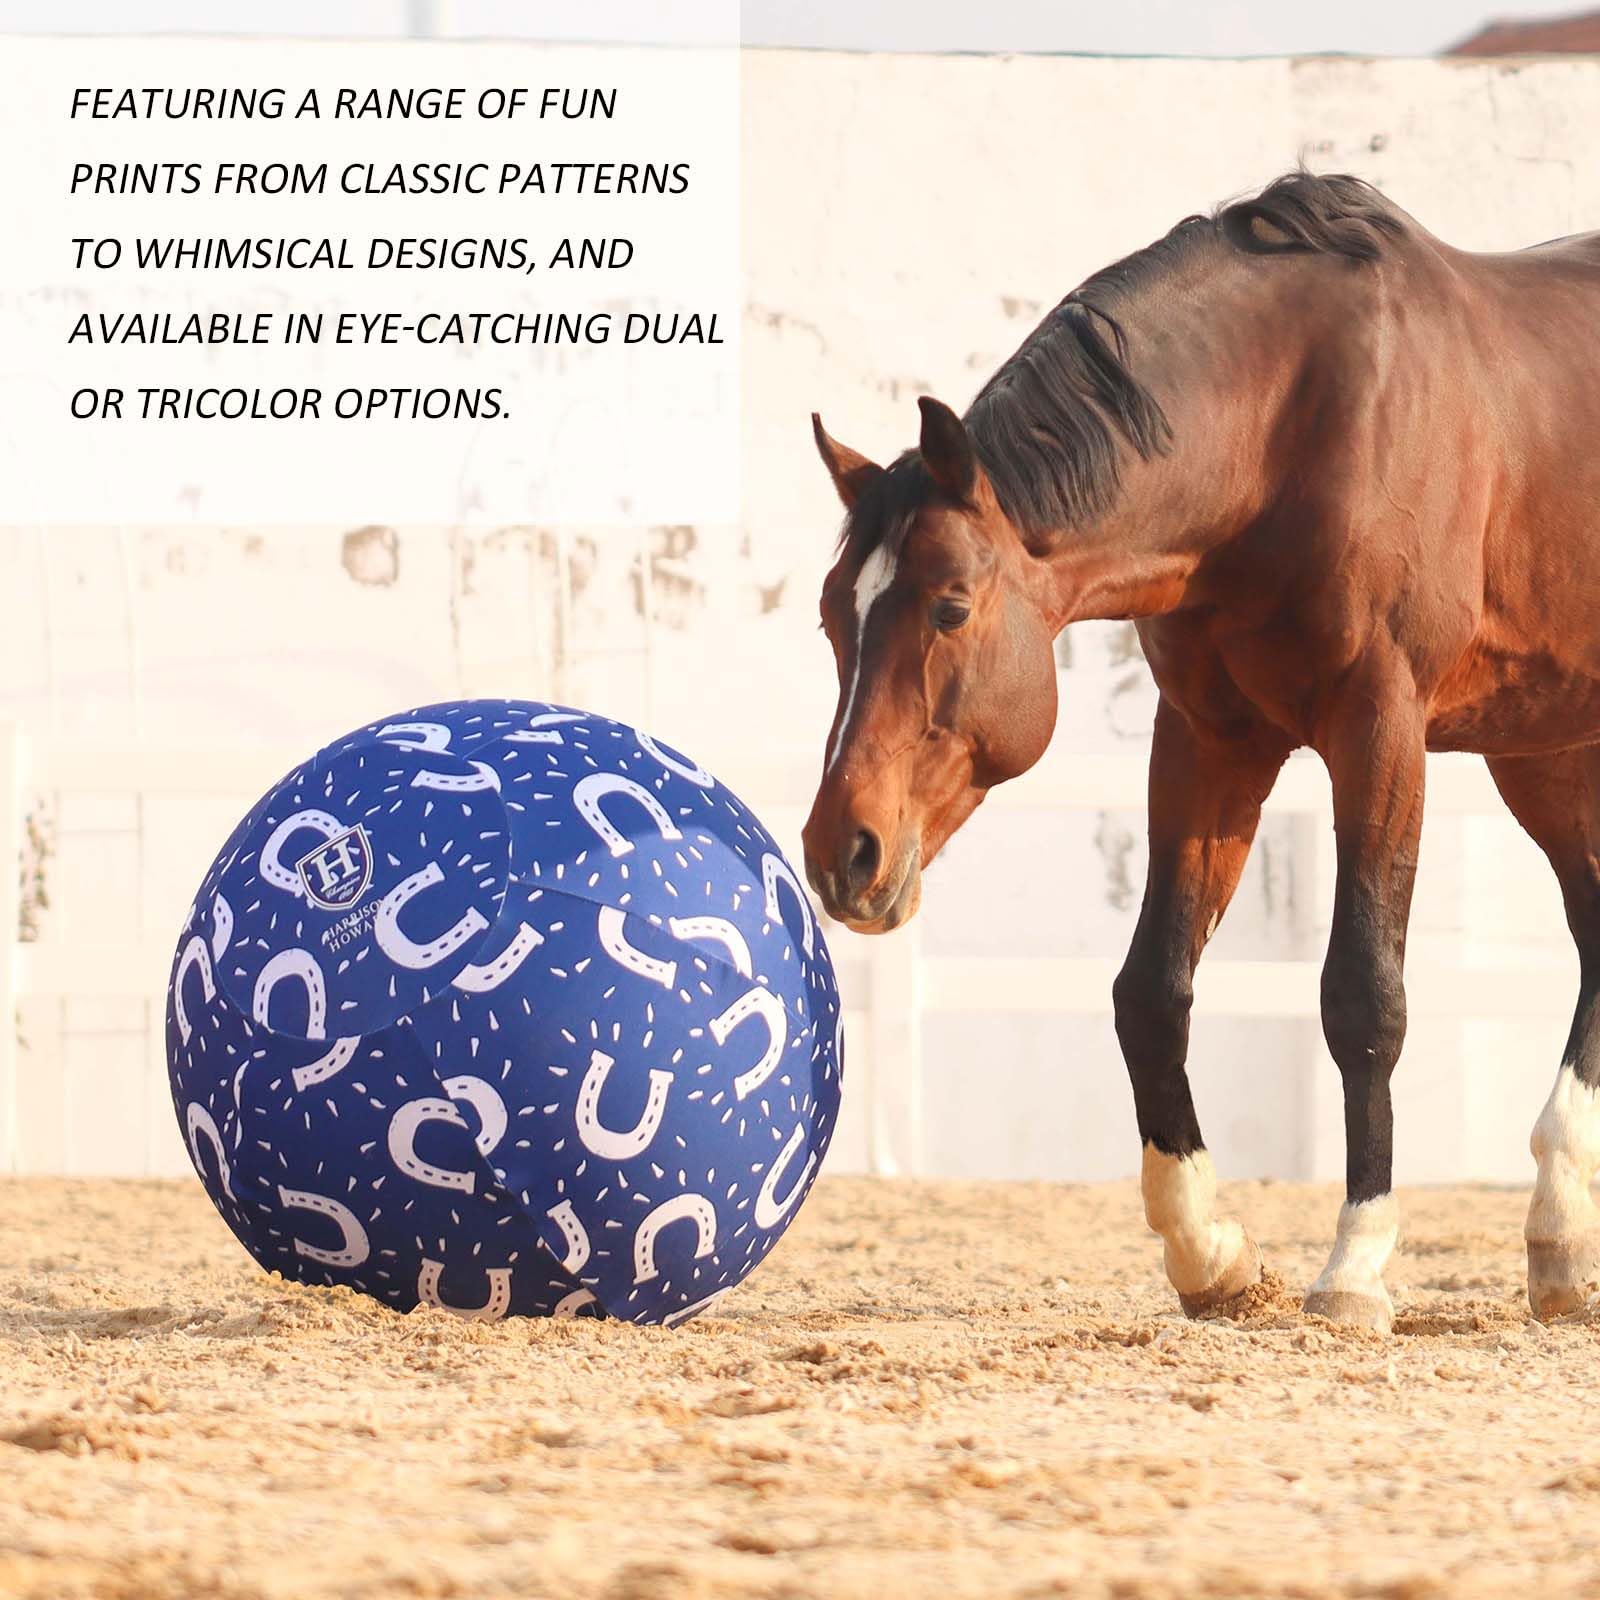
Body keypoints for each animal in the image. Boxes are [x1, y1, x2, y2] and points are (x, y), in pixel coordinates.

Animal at [800, 170, 1600, 1333]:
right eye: (832, 617)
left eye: (949, 605)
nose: (840, 852)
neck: (1290, 431)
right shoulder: (1209, 743)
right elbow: (1150, 991)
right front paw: (1208, 1251)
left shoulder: (1378, 728)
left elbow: (1363, 994)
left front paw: (1355, 1265)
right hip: (1542, 749)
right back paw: (1561, 1236)